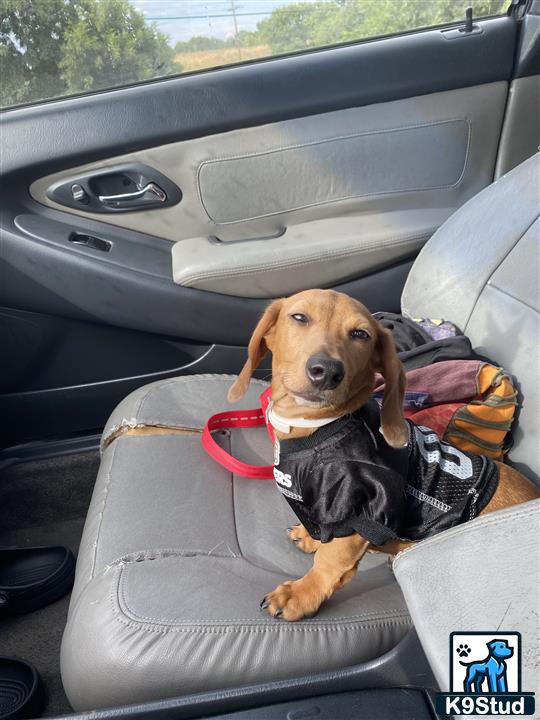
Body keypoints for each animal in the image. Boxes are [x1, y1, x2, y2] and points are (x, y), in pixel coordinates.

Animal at [227, 290, 536, 620]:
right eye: (298, 317)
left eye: (360, 334)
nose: (327, 371)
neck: (316, 427)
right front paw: (312, 538)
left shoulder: (365, 506)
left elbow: (330, 562)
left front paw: (300, 595)